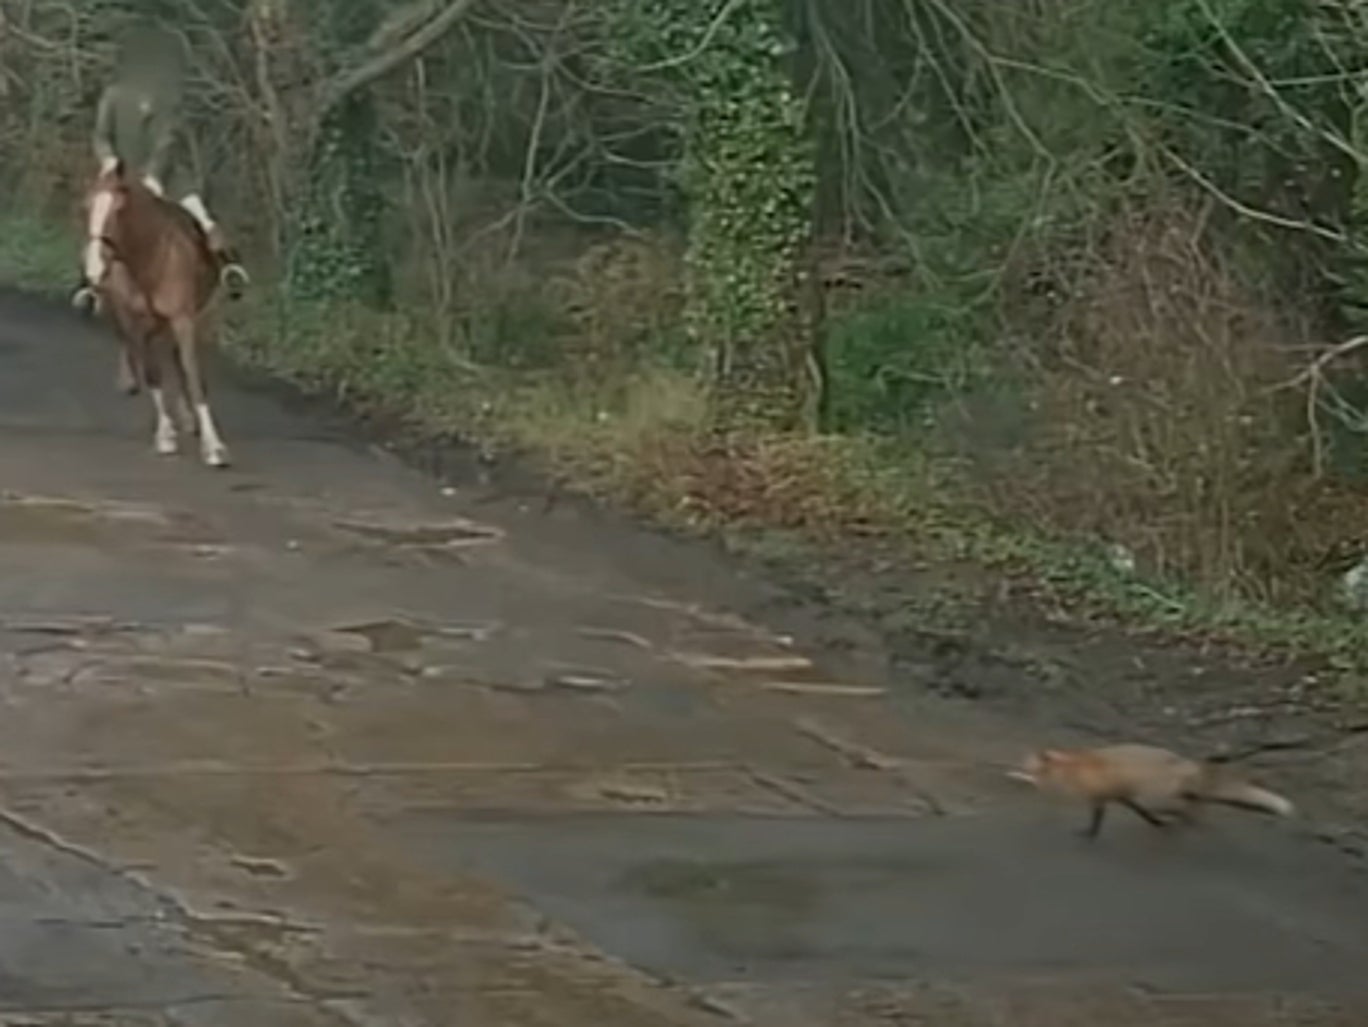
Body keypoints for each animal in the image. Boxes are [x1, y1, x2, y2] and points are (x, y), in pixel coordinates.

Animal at [84, 158, 232, 467]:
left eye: (118, 210)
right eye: (88, 205)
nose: (94, 269)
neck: (149, 259)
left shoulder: (184, 319)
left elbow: (193, 374)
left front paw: (214, 447)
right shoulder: (136, 323)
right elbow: (153, 374)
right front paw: (165, 435)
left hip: (198, 316)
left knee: (181, 361)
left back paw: (189, 418)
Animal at [1006, 743, 1291, 836]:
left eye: (1028, 761)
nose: (1018, 765)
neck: (1076, 768)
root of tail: (1187, 764)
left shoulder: (1100, 796)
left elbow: (1096, 819)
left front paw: (1088, 834)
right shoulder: (1122, 795)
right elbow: (1138, 811)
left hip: (1160, 795)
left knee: (1191, 802)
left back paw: (1187, 817)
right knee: (1195, 800)